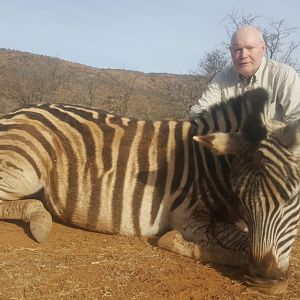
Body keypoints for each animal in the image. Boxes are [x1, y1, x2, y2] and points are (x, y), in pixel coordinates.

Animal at [0, 87, 298, 292]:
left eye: (291, 197)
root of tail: (15, 112)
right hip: (25, 166)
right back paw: (40, 219)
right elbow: (235, 244)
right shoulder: (190, 219)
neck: (212, 164)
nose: (264, 278)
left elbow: (246, 239)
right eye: (242, 198)